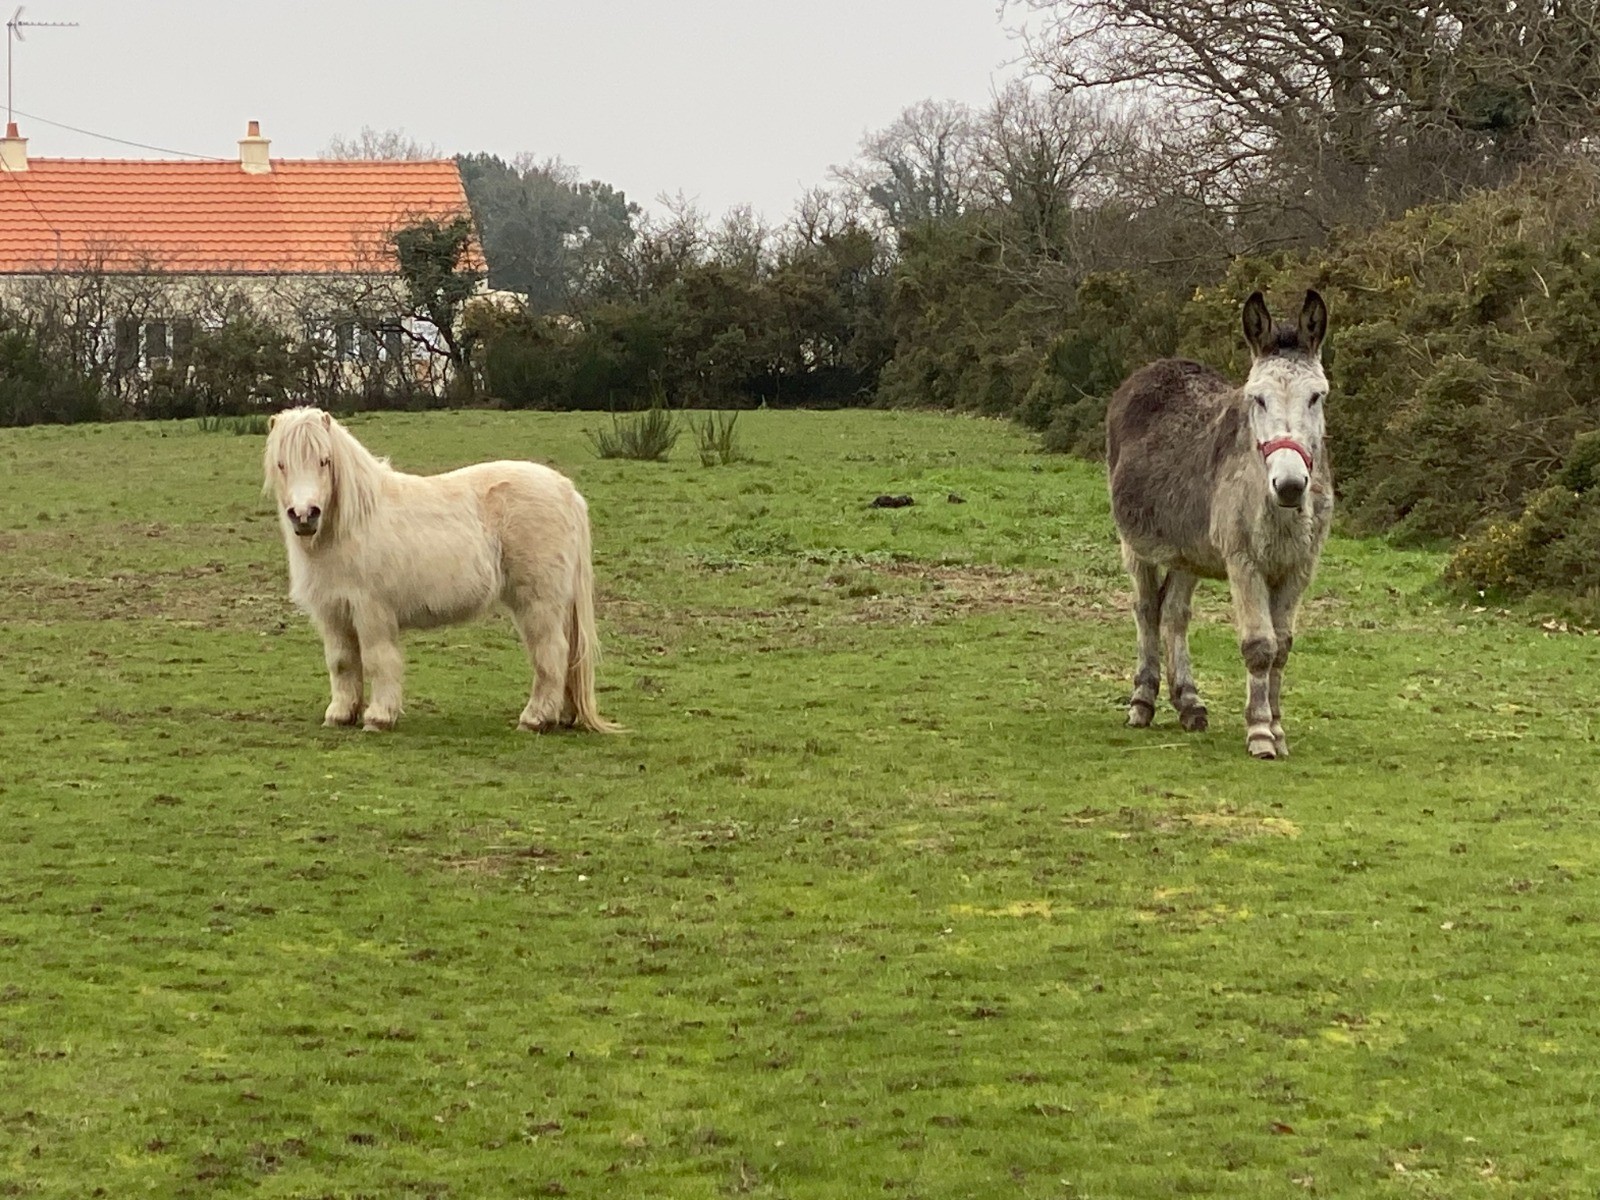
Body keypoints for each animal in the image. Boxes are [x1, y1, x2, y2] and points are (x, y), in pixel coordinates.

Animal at [263, 407, 619, 734]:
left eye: (324, 461)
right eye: (281, 464)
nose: (305, 515)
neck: (351, 525)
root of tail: (566, 490)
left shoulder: (372, 611)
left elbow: (378, 661)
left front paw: (378, 717)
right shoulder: (333, 613)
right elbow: (342, 663)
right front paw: (339, 715)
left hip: (538, 603)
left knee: (551, 654)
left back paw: (535, 719)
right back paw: (562, 716)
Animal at [1105, 289, 1332, 759]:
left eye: (1316, 397)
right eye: (1257, 398)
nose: (1289, 486)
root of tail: (1160, 364)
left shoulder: (1299, 569)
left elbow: (1282, 647)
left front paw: (1277, 728)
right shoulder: (1243, 562)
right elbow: (1260, 646)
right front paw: (1260, 733)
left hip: (1186, 551)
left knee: (1175, 613)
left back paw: (1189, 702)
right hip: (1134, 544)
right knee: (1147, 610)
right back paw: (1143, 701)